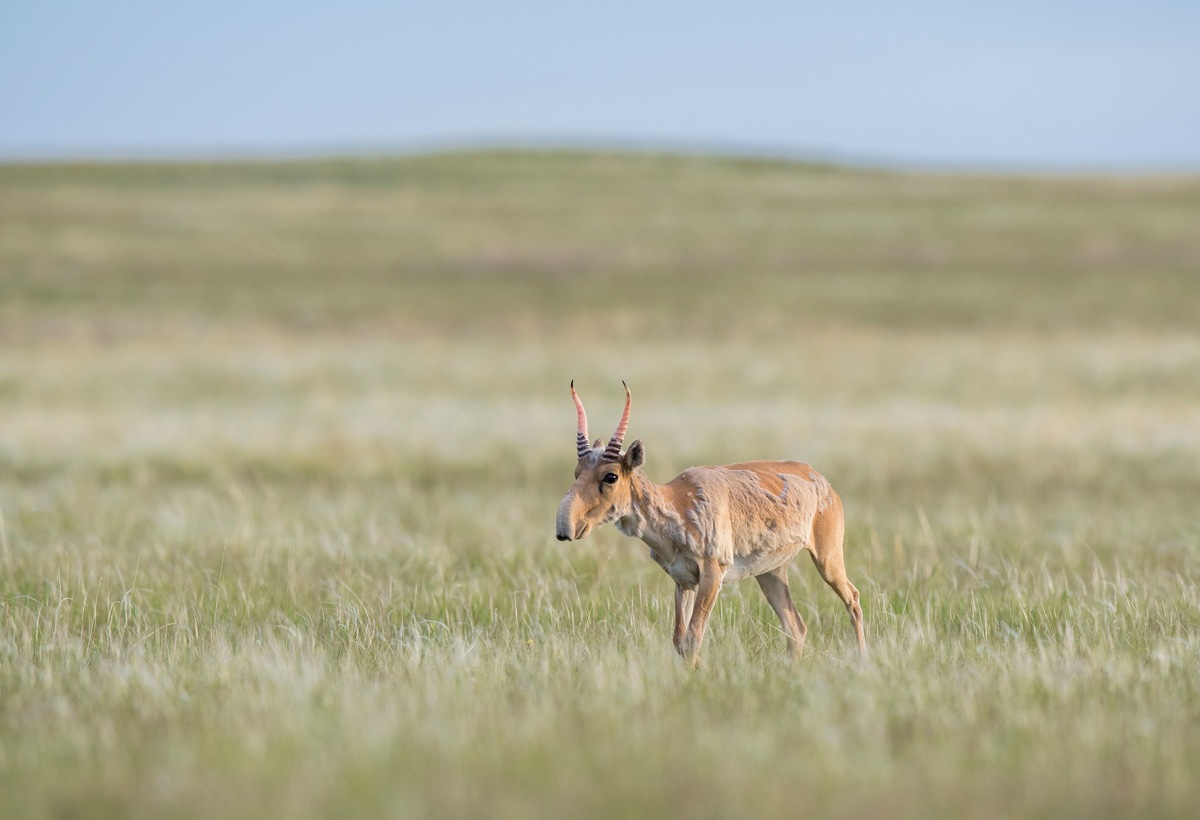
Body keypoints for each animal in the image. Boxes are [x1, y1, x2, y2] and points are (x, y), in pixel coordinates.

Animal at [556, 381, 868, 662]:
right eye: (576, 471)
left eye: (611, 476)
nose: (564, 529)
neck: (678, 503)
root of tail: (821, 479)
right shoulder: (683, 581)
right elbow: (679, 640)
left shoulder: (712, 573)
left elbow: (694, 637)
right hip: (771, 572)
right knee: (796, 627)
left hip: (827, 558)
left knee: (852, 597)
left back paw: (862, 659)